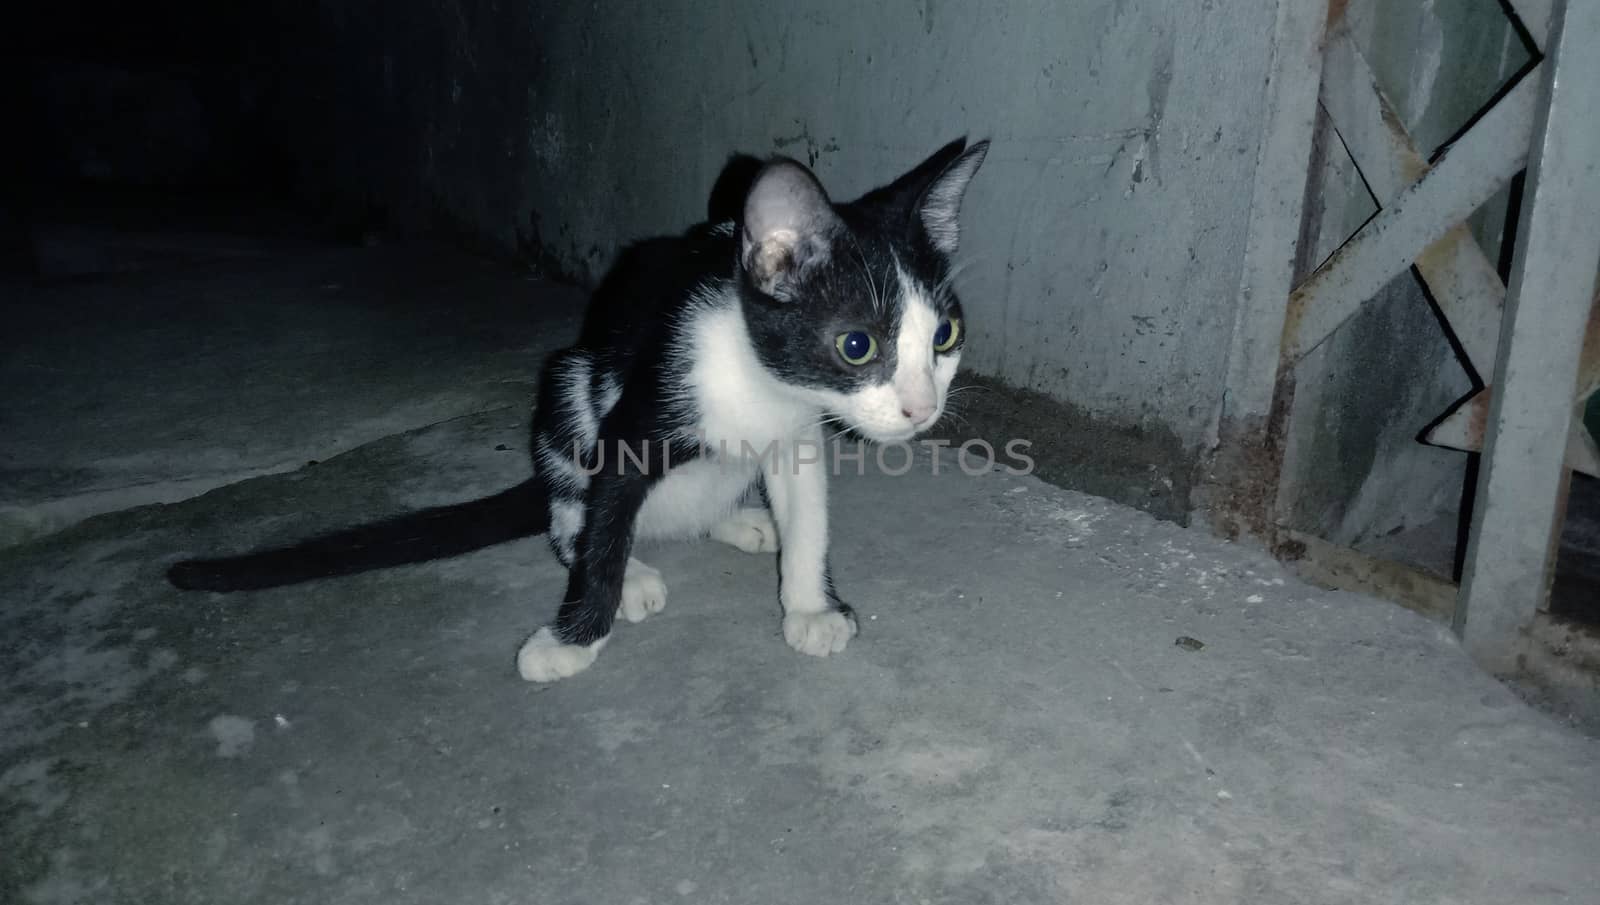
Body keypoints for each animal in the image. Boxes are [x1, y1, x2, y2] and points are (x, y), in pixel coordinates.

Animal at [165, 138, 985, 684]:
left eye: (944, 335)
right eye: (857, 344)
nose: (921, 409)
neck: (764, 384)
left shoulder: (797, 436)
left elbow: (810, 519)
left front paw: (811, 607)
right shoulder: (634, 417)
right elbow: (601, 535)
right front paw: (573, 637)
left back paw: (739, 520)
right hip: (568, 385)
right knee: (569, 517)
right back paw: (638, 572)